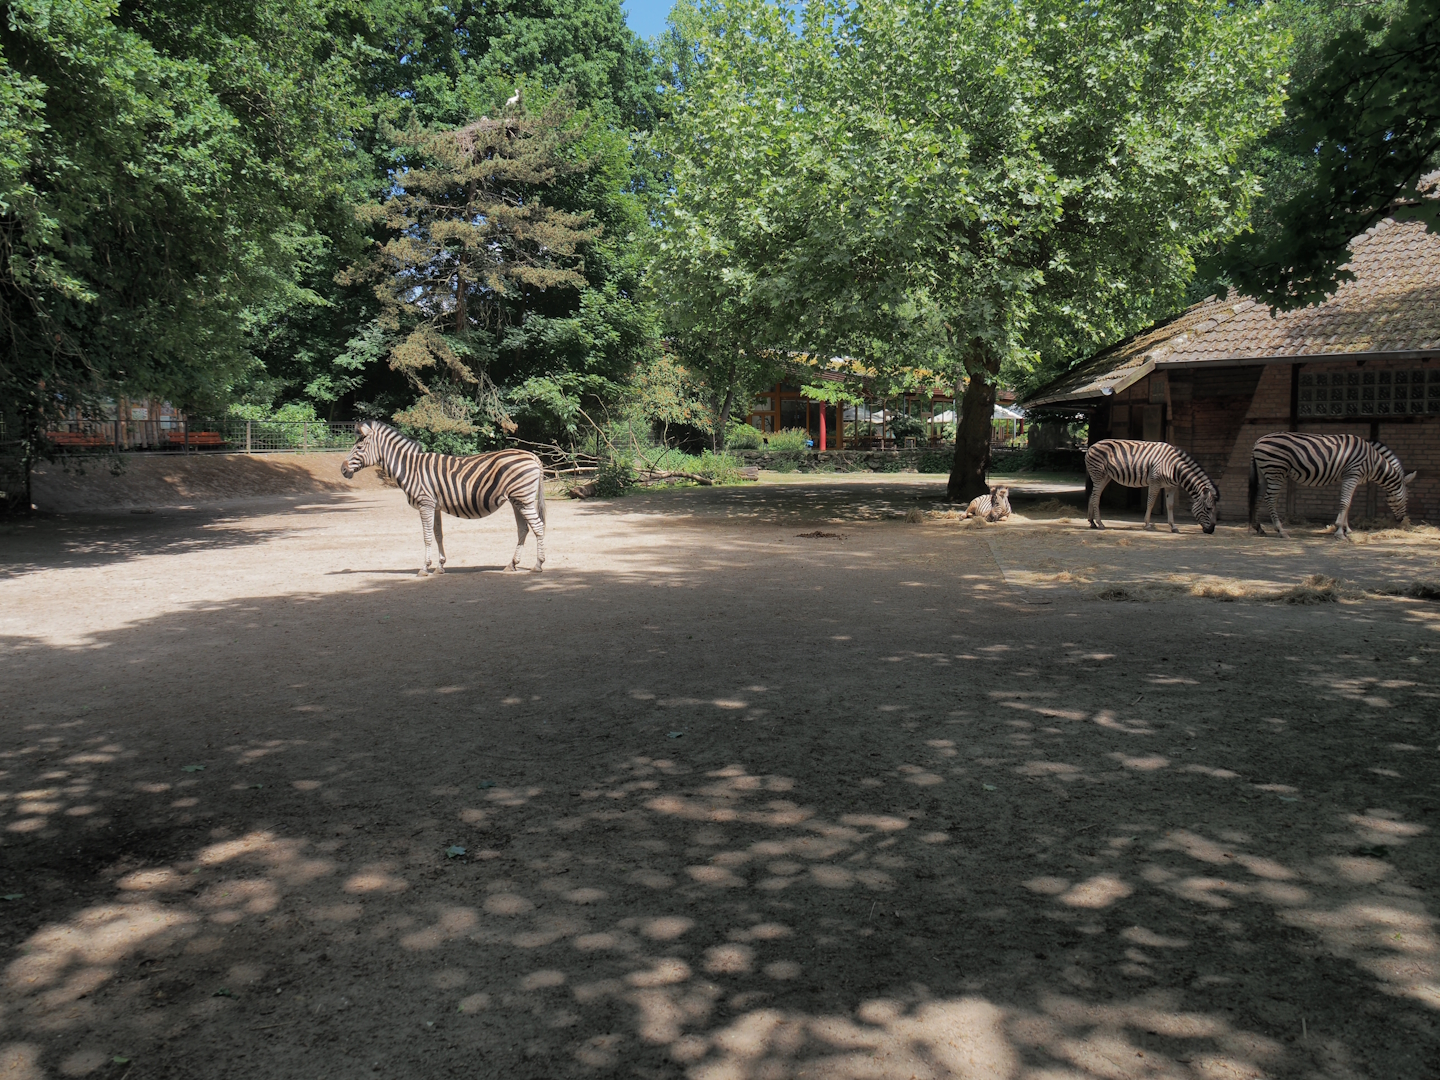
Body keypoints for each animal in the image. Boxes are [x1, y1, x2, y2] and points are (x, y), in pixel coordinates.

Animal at [341, 421, 547, 575]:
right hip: (516, 500)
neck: (410, 468)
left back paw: (538, 564)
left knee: (538, 527)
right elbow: (438, 534)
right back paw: (512, 564)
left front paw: (425, 567)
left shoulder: (425, 503)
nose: (343, 469)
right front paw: (440, 566)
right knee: (523, 529)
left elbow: (426, 536)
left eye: (358, 447)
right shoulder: (435, 506)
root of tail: (532, 456)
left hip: (523, 499)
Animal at [1085, 439, 1218, 533]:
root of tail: (1091, 446)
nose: (1211, 531)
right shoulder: (1155, 482)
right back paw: (1100, 524)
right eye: (1208, 508)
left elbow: (1170, 505)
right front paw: (1147, 524)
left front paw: (1173, 527)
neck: (1174, 467)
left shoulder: (1171, 487)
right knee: (1096, 497)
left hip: (1105, 476)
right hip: (1099, 474)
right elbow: (1150, 502)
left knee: (1093, 495)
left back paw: (1092, 522)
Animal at [1248, 432, 1415, 539]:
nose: (1401, 520)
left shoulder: (1348, 476)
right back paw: (1281, 531)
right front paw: (1340, 531)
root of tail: (1258, 441)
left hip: (1265, 473)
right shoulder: (1352, 474)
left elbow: (1348, 504)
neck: (1372, 461)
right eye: (1406, 499)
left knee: (1258, 497)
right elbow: (1345, 502)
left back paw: (1258, 528)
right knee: (1270, 499)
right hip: (1276, 471)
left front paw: (1347, 529)